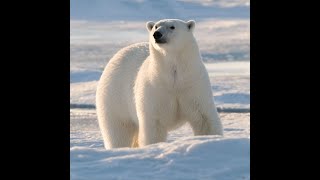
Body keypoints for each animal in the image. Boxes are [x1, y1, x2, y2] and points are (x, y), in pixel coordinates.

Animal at [96, 18, 224, 149]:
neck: (173, 78)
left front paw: (210, 139)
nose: (157, 34)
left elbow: (204, 118)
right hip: (115, 98)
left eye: (172, 27)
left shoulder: (193, 84)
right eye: (155, 26)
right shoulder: (154, 89)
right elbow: (154, 124)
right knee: (118, 131)